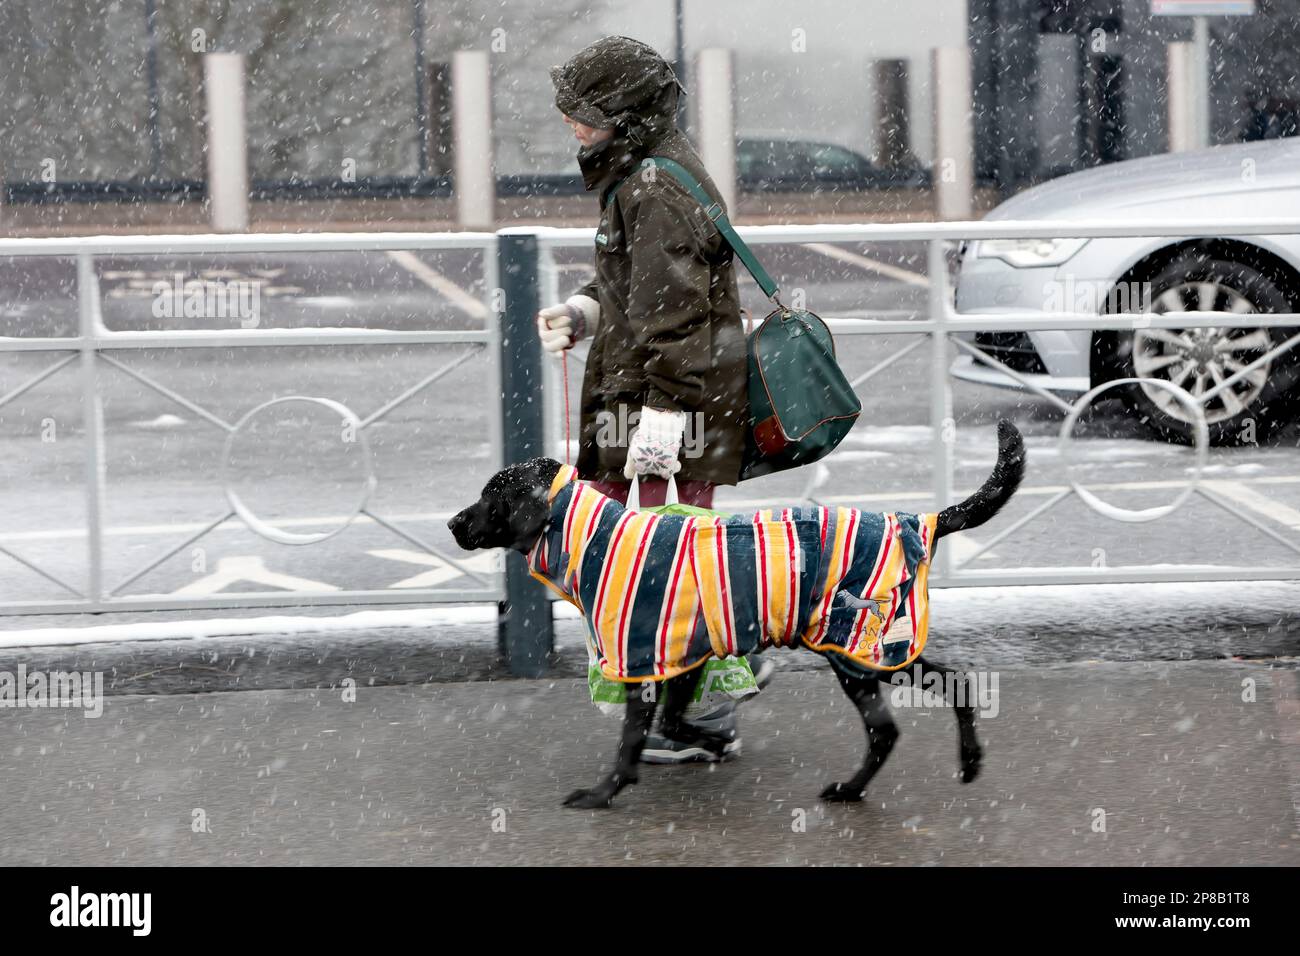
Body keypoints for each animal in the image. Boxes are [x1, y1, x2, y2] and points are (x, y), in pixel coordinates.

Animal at [447, 418, 1024, 806]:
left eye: (490, 495)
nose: (452, 522)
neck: (595, 537)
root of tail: (920, 519)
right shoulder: (683, 657)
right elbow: (676, 722)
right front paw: (712, 742)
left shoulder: (643, 659)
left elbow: (631, 741)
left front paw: (602, 793)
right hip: (871, 652)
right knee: (923, 706)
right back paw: (891, 780)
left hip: (859, 649)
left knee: (915, 710)